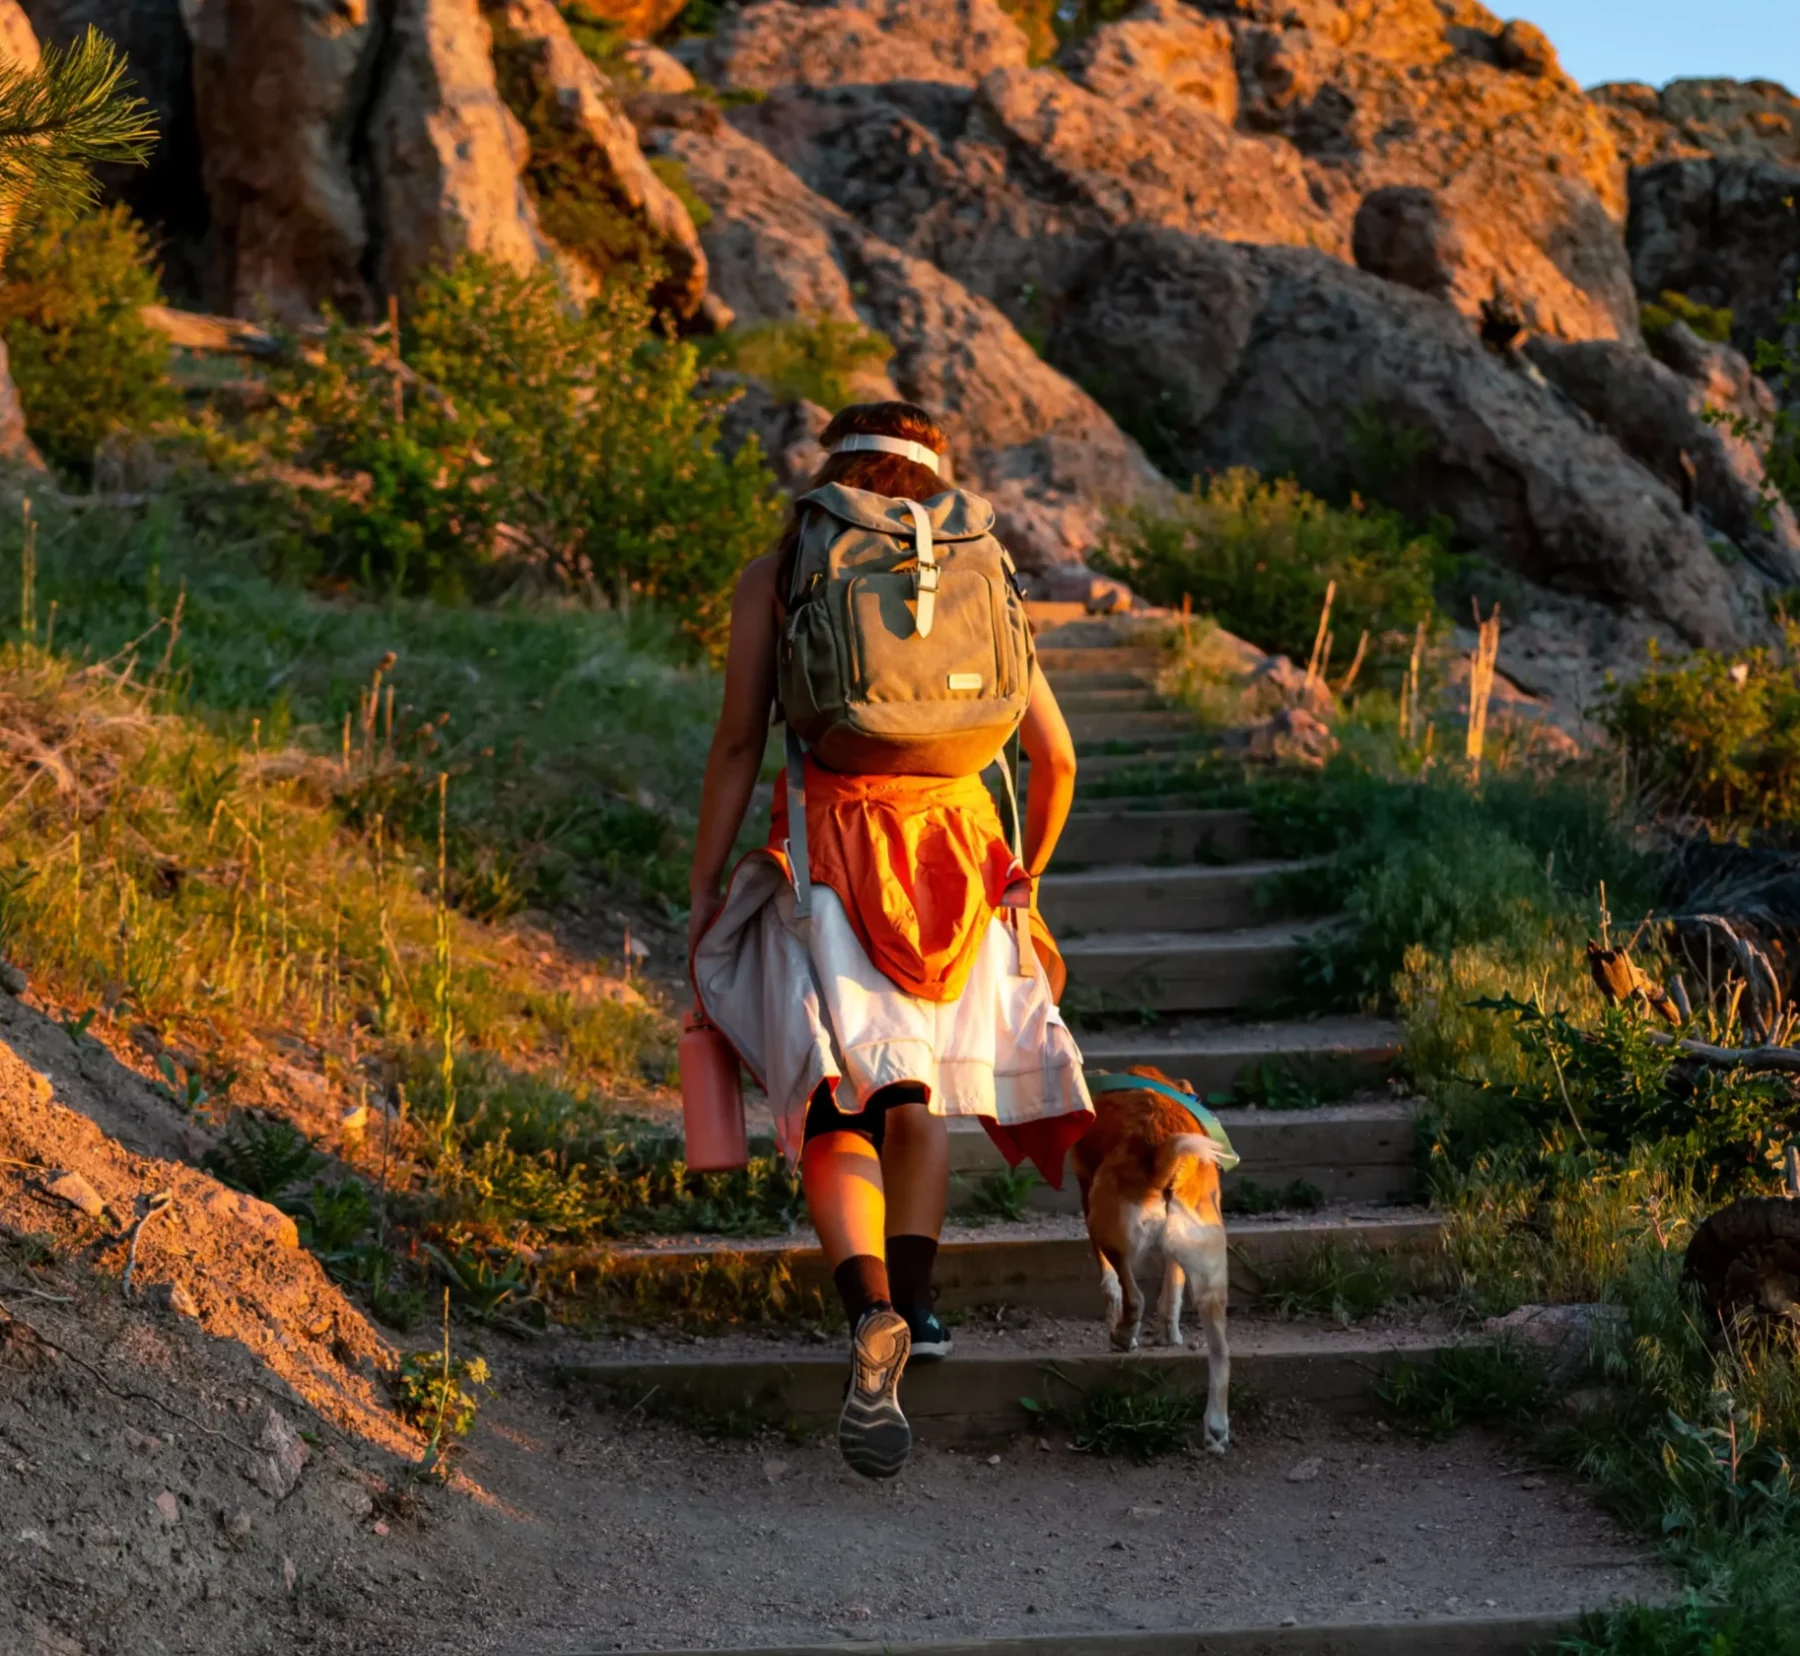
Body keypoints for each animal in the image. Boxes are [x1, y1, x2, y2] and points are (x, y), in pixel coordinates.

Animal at [1065, 1072, 1238, 1447]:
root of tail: (1164, 1163)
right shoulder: (1179, 1261)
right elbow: (1172, 1292)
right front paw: (1169, 1335)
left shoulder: (1087, 1195)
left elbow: (1111, 1283)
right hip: (1211, 1273)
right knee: (1221, 1352)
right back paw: (1216, 1426)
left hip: (1103, 1223)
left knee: (1134, 1296)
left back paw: (1123, 1335)